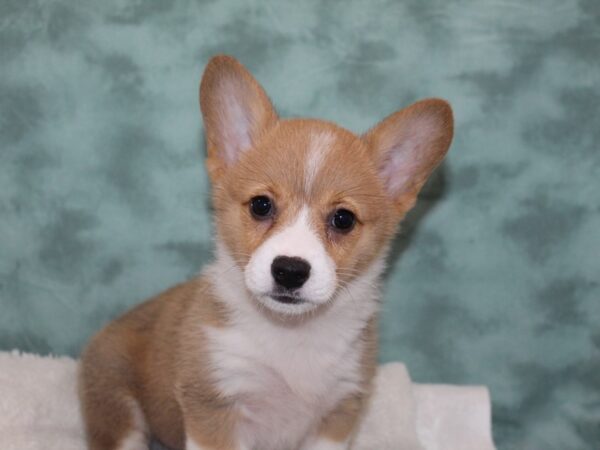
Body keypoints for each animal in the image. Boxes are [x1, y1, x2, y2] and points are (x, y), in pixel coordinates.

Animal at [77, 53, 452, 450]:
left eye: (343, 219)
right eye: (261, 205)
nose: (289, 270)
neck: (290, 333)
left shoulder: (337, 413)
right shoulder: (215, 405)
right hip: (116, 403)